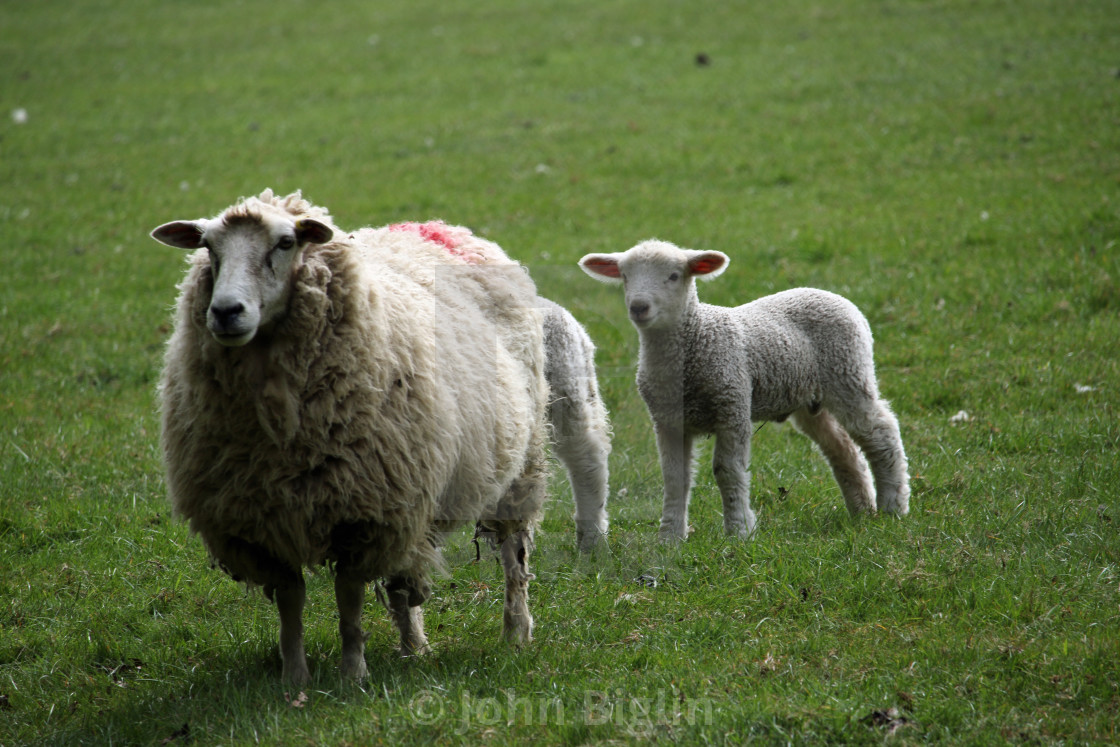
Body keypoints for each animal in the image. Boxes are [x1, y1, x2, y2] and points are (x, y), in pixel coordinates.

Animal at [148, 191, 551, 685]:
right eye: (208, 247)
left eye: (285, 243)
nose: (225, 312)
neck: (280, 427)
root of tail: (439, 227)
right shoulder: (263, 520)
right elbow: (291, 601)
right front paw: (294, 677)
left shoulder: (366, 514)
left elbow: (349, 598)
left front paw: (353, 673)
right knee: (405, 582)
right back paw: (413, 646)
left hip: (519, 466)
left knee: (514, 557)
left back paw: (515, 631)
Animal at [577, 243, 909, 539]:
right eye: (625, 276)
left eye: (673, 276)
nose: (639, 307)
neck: (696, 337)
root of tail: (833, 295)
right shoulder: (668, 421)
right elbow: (674, 478)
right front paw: (670, 538)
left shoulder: (732, 405)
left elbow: (727, 471)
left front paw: (738, 531)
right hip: (810, 401)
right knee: (843, 448)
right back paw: (862, 510)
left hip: (849, 374)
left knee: (881, 430)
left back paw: (893, 507)